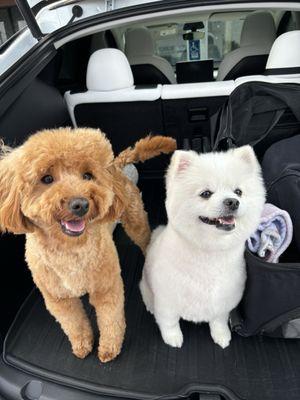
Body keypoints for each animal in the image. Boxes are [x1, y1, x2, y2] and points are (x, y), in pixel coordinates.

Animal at [0, 127, 176, 362]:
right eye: (46, 178)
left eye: (87, 176)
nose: (80, 204)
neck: (70, 250)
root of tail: (116, 165)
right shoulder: (58, 299)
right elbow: (74, 324)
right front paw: (82, 345)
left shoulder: (106, 287)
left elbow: (111, 320)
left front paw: (109, 349)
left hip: (135, 219)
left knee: (144, 240)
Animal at [140, 146, 264, 346]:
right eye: (206, 194)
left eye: (238, 192)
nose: (232, 201)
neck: (209, 252)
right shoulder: (167, 300)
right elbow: (169, 322)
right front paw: (173, 337)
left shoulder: (223, 300)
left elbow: (218, 321)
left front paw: (221, 335)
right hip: (146, 283)